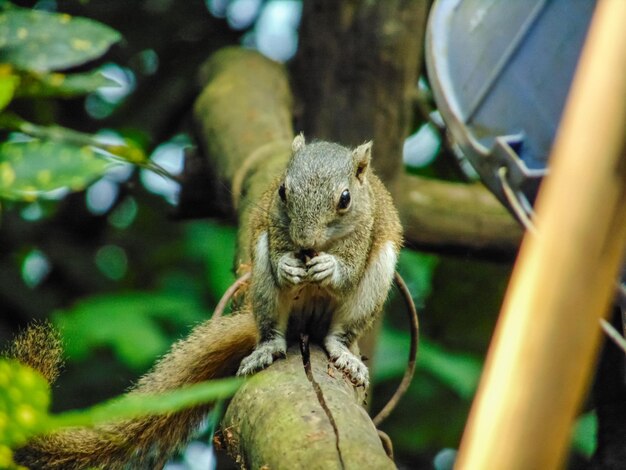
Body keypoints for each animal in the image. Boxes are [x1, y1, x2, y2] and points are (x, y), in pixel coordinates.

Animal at [6, 134, 400, 468]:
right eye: (283, 192)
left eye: (345, 199)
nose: (304, 243)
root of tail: (307, 324)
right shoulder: (273, 229)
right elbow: (277, 256)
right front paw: (288, 264)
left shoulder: (365, 234)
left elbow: (348, 270)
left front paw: (329, 267)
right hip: (262, 286)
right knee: (272, 326)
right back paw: (268, 347)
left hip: (374, 282)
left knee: (339, 332)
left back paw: (343, 352)